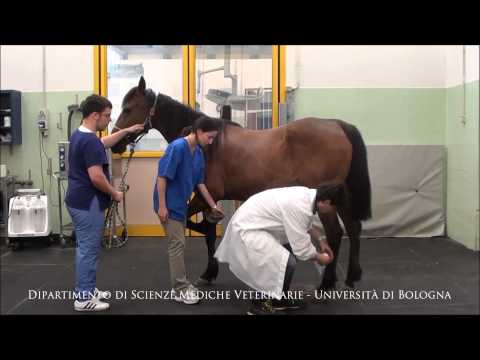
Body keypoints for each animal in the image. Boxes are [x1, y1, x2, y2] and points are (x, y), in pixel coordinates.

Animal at [111, 76, 372, 290]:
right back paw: (351, 276)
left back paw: (326, 284)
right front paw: (210, 272)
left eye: (129, 108)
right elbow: (207, 232)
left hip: (325, 198)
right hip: (339, 195)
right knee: (352, 227)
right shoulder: (208, 198)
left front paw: (210, 268)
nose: (116, 143)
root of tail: (338, 125)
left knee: (336, 232)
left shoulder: (207, 196)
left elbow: (195, 225)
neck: (206, 143)